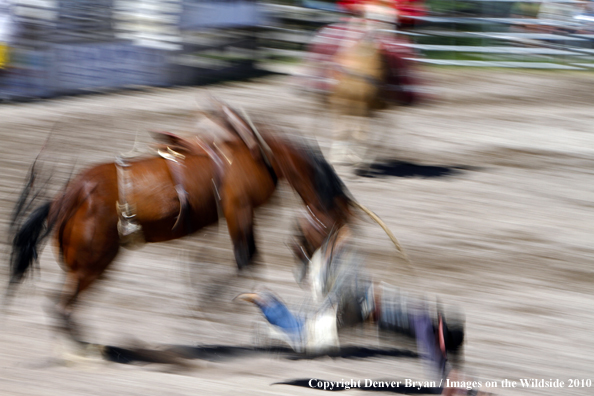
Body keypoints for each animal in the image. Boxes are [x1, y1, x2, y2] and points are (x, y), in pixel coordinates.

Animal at [6, 102, 354, 344]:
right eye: (328, 229)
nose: (303, 271)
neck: (260, 155)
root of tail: (75, 191)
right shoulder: (237, 209)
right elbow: (245, 260)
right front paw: (210, 302)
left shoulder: (221, 218)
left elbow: (215, 262)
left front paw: (201, 296)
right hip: (93, 262)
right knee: (62, 306)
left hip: (86, 262)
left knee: (60, 306)